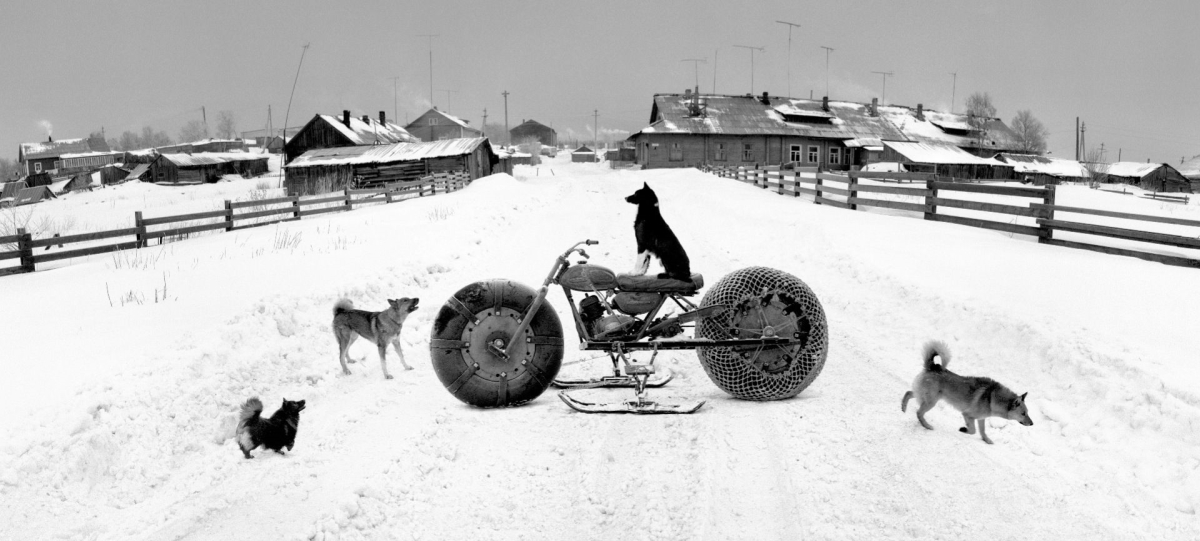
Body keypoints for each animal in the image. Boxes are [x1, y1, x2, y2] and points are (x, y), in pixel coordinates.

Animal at [902, 343, 1032, 443]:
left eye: (1027, 413)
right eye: (1023, 413)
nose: (1032, 424)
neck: (991, 398)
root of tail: (933, 367)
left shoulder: (981, 419)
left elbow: (982, 431)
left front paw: (986, 440)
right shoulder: (967, 415)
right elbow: (973, 431)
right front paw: (964, 429)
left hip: (924, 396)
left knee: (908, 393)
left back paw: (903, 408)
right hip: (931, 401)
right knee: (919, 412)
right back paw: (926, 425)